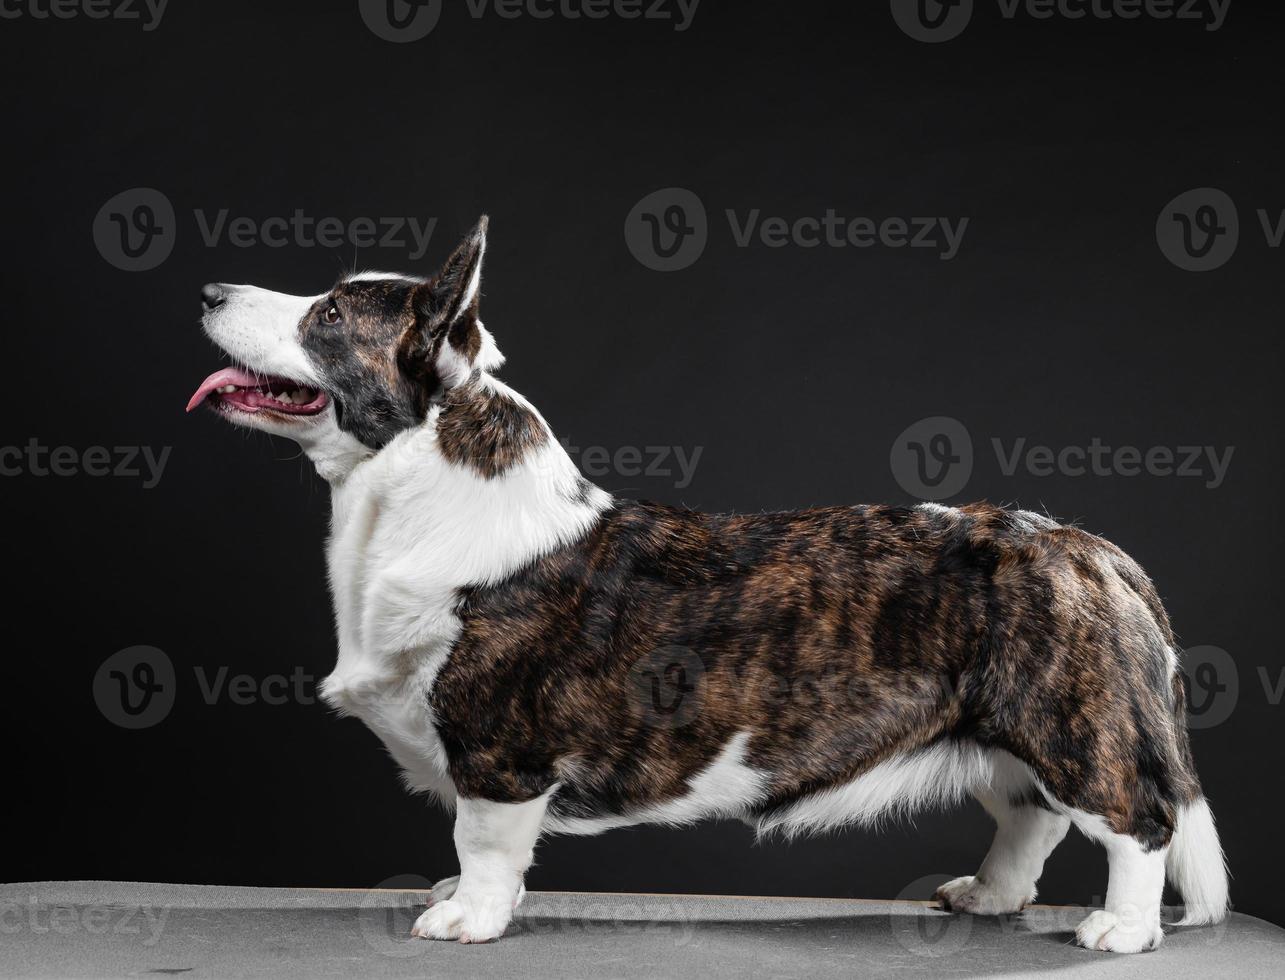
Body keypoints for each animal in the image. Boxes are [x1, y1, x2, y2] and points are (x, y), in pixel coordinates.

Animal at [187, 217, 1223, 950]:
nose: (206, 289)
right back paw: (987, 897)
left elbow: (481, 841)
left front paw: (463, 917)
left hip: (1068, 724)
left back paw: (1120, 931)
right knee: (1027, 819)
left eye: (328, 314)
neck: (404, 490)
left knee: (1136, 820)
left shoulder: (499, 752)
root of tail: (1091, 548)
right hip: (1008, 735)